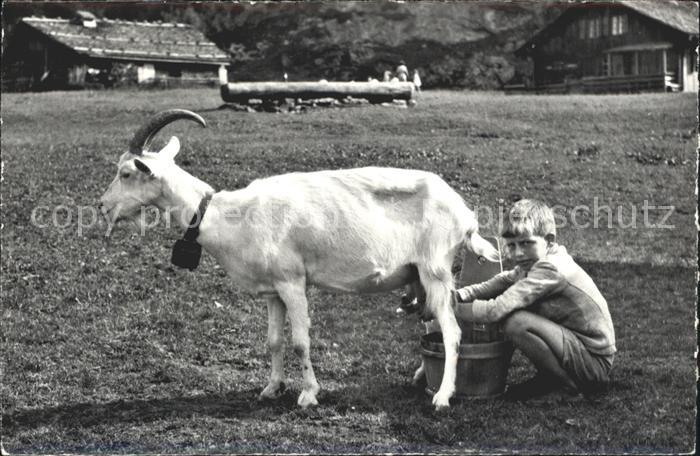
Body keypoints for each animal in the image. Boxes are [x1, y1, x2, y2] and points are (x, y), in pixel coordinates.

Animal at [99, 109, 499, 410]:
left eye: (127, 173)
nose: (102, 206)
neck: (228, 214)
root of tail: (465, 214)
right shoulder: (272, 290)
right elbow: (274, 341)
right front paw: (271, 388)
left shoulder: (293, 283)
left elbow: (300, 341)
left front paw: (308, 394)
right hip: (419, 274)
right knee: (434, 323)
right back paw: (420, 377)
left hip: (435, 269)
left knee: (451, 330)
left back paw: (443, 396)